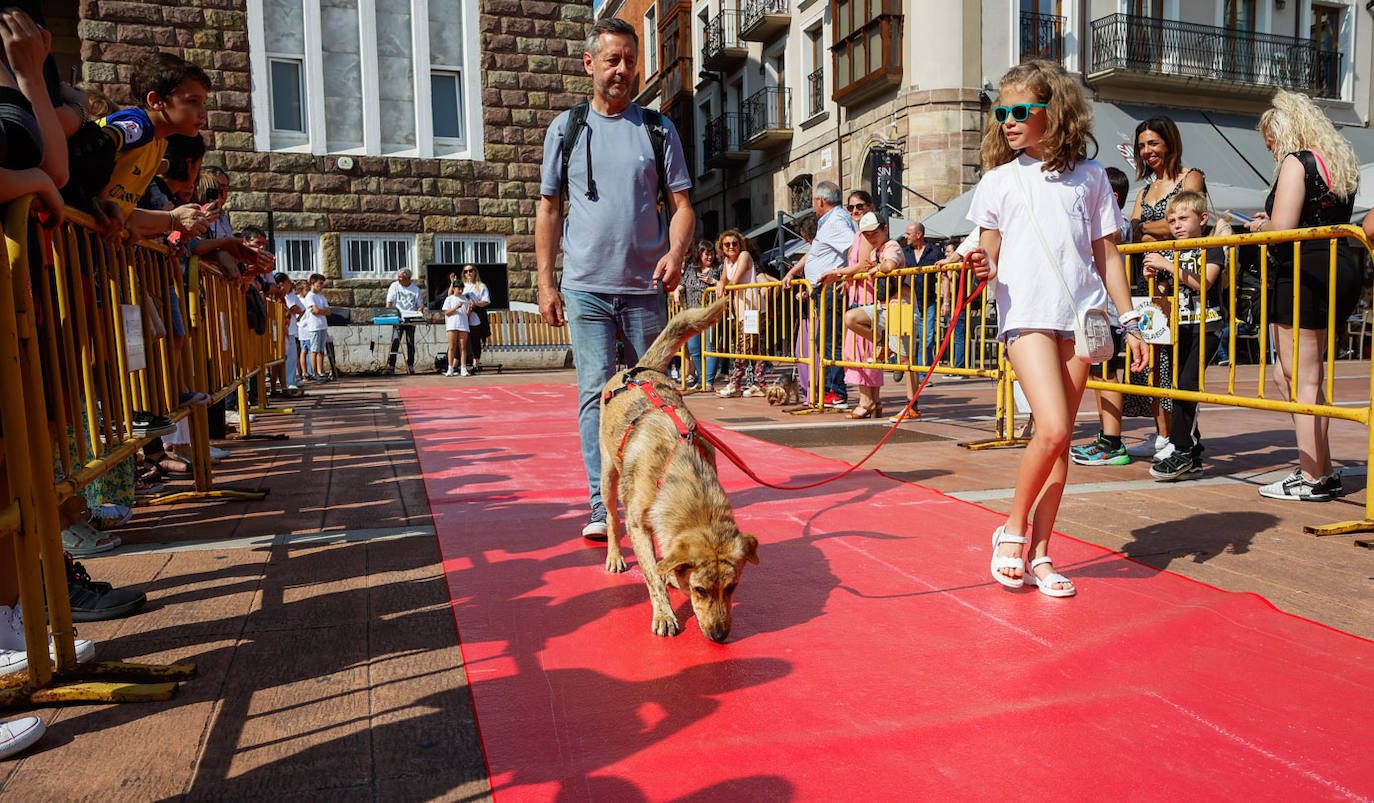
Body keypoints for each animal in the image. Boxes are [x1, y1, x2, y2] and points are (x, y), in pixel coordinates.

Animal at [596, 298, 758, 643]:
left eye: (732, 587)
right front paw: (664, 614)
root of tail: (636, 369)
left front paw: (668, 575)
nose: (720, 636)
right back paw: (614, 556)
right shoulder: (637, 526)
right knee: (612, 518)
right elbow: (652, 576)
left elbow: (663, 563)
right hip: (607, 475)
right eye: (699, 590)